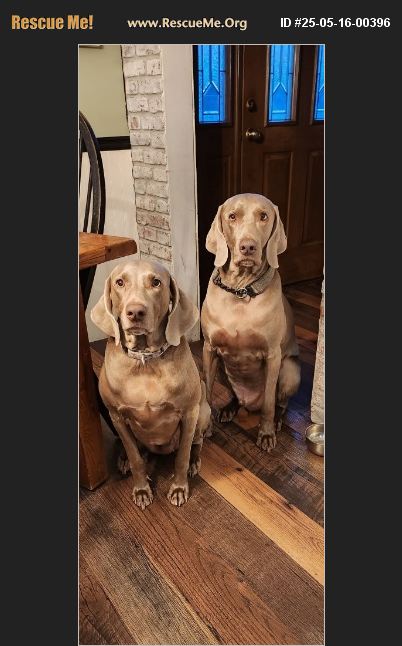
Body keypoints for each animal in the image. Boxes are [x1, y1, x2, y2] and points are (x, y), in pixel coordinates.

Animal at [91, 260, 211, 509]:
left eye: (156, 282)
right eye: (120, 282)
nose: (135, 312)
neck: (145, 360)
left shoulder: (189, 413)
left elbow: (182, 455)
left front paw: (179, 488)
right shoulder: (116, 415)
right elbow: (136, 457)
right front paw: (141, 489)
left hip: (203, 411)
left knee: (198, 441)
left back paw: (195, 461)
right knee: (135, 449)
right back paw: (124, 460)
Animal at [201, 193, 300, 451]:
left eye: (264, 216)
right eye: (232, 216)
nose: (248, 247)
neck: (240, 291)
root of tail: (250, 403)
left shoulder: (273, 356)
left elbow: (269, 403)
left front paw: (265, 434)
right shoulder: (209, 349)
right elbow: (207, 390)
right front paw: (205, 428)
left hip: (290, 370)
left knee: (280, 404)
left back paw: (277, 422)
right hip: (224, 367)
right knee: (236, 396)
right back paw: (229, 408)